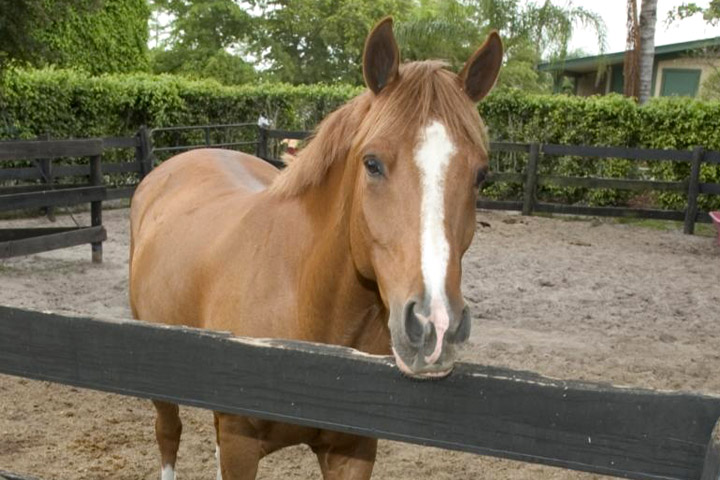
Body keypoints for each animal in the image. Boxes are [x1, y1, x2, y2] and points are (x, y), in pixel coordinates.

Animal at [129, 17, 502, 480]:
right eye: (372, 163)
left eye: (481, 175)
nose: (436, 325)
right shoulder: (238, 445)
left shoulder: (352, 451)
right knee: (168, 433)